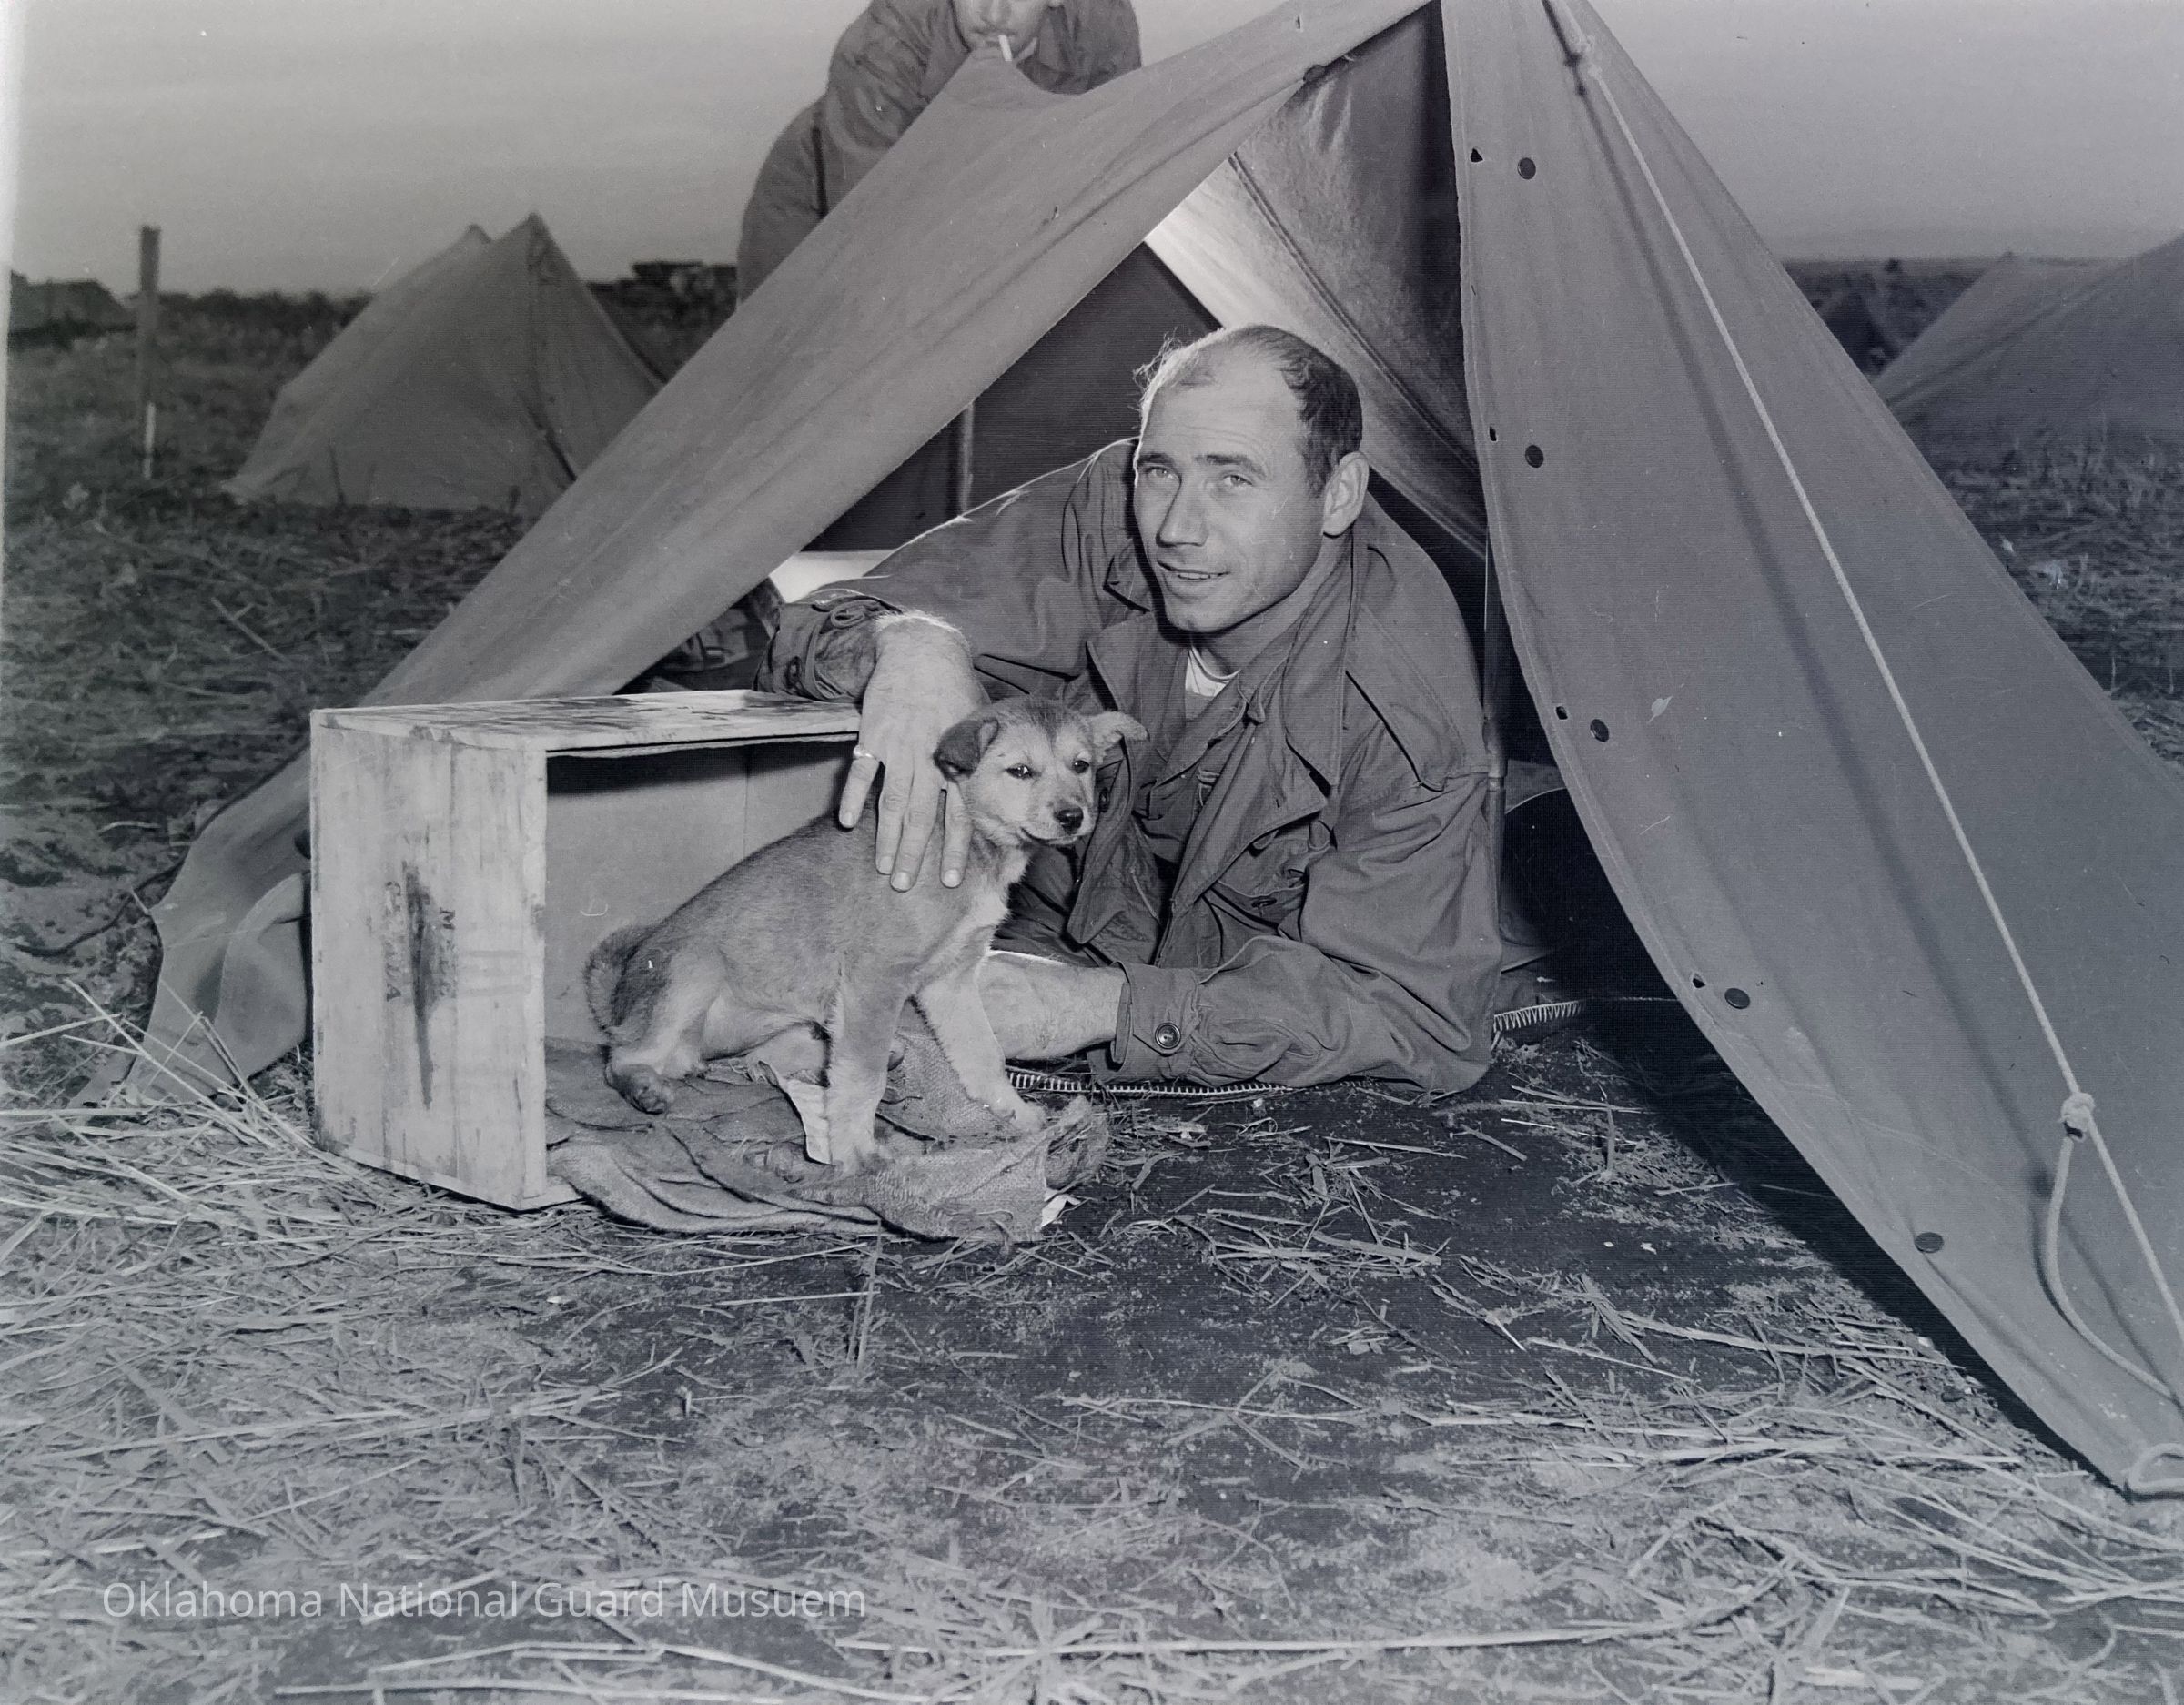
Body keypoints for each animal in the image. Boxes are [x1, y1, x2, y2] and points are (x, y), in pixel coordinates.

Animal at [584, 695, 1144, 1170]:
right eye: (1021, 772)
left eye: (1082, 766)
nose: (1073, 817)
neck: (969, 852)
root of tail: (620, 1003)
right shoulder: (877, 982)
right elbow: (862, 1077)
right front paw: (854, 1151)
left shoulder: (951, 981)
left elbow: (982, 1052)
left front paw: (1011, 1111)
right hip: (690, 976)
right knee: (623, 1057)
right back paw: (644, 1087)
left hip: (779, 1020)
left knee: (756, 1059)